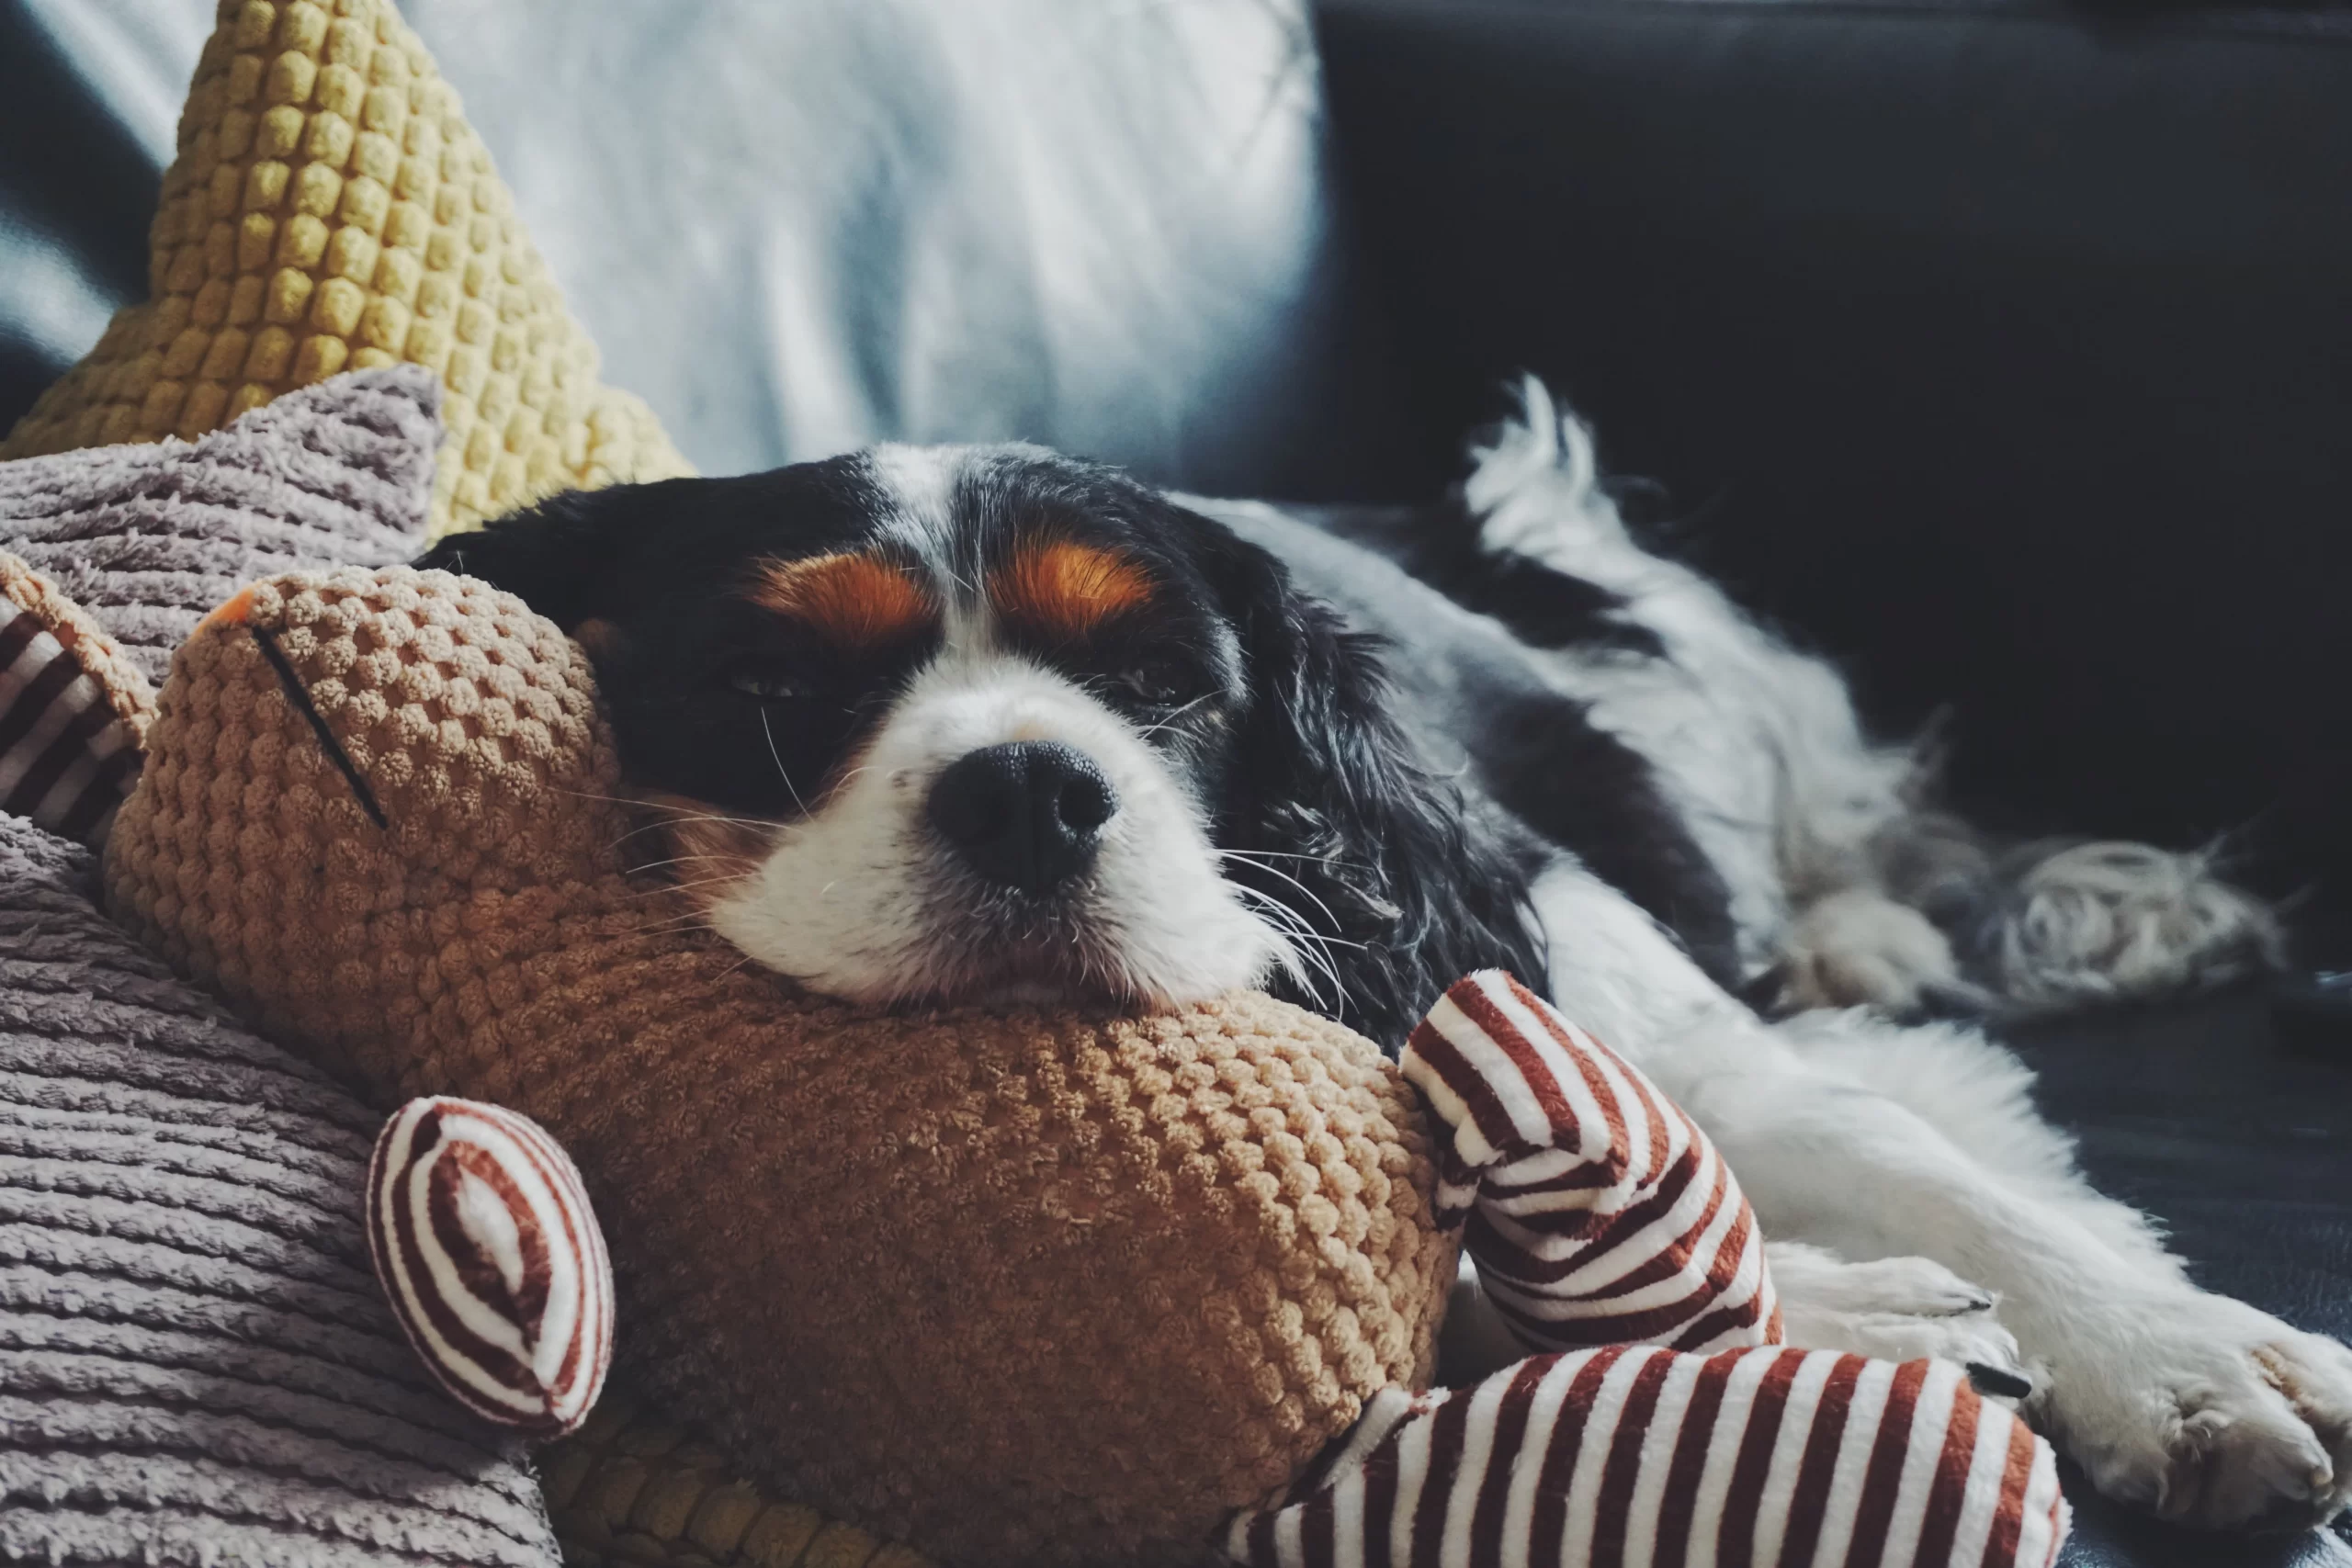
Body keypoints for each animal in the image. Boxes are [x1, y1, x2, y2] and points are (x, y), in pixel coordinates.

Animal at [418, 383, 2333, 1532]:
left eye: (1166, 685)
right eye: (771, 689)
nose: (1033, 789)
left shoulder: (1553, 952)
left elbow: (1897, 1146)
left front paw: (2175, 1353)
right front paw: (1860, 1313)